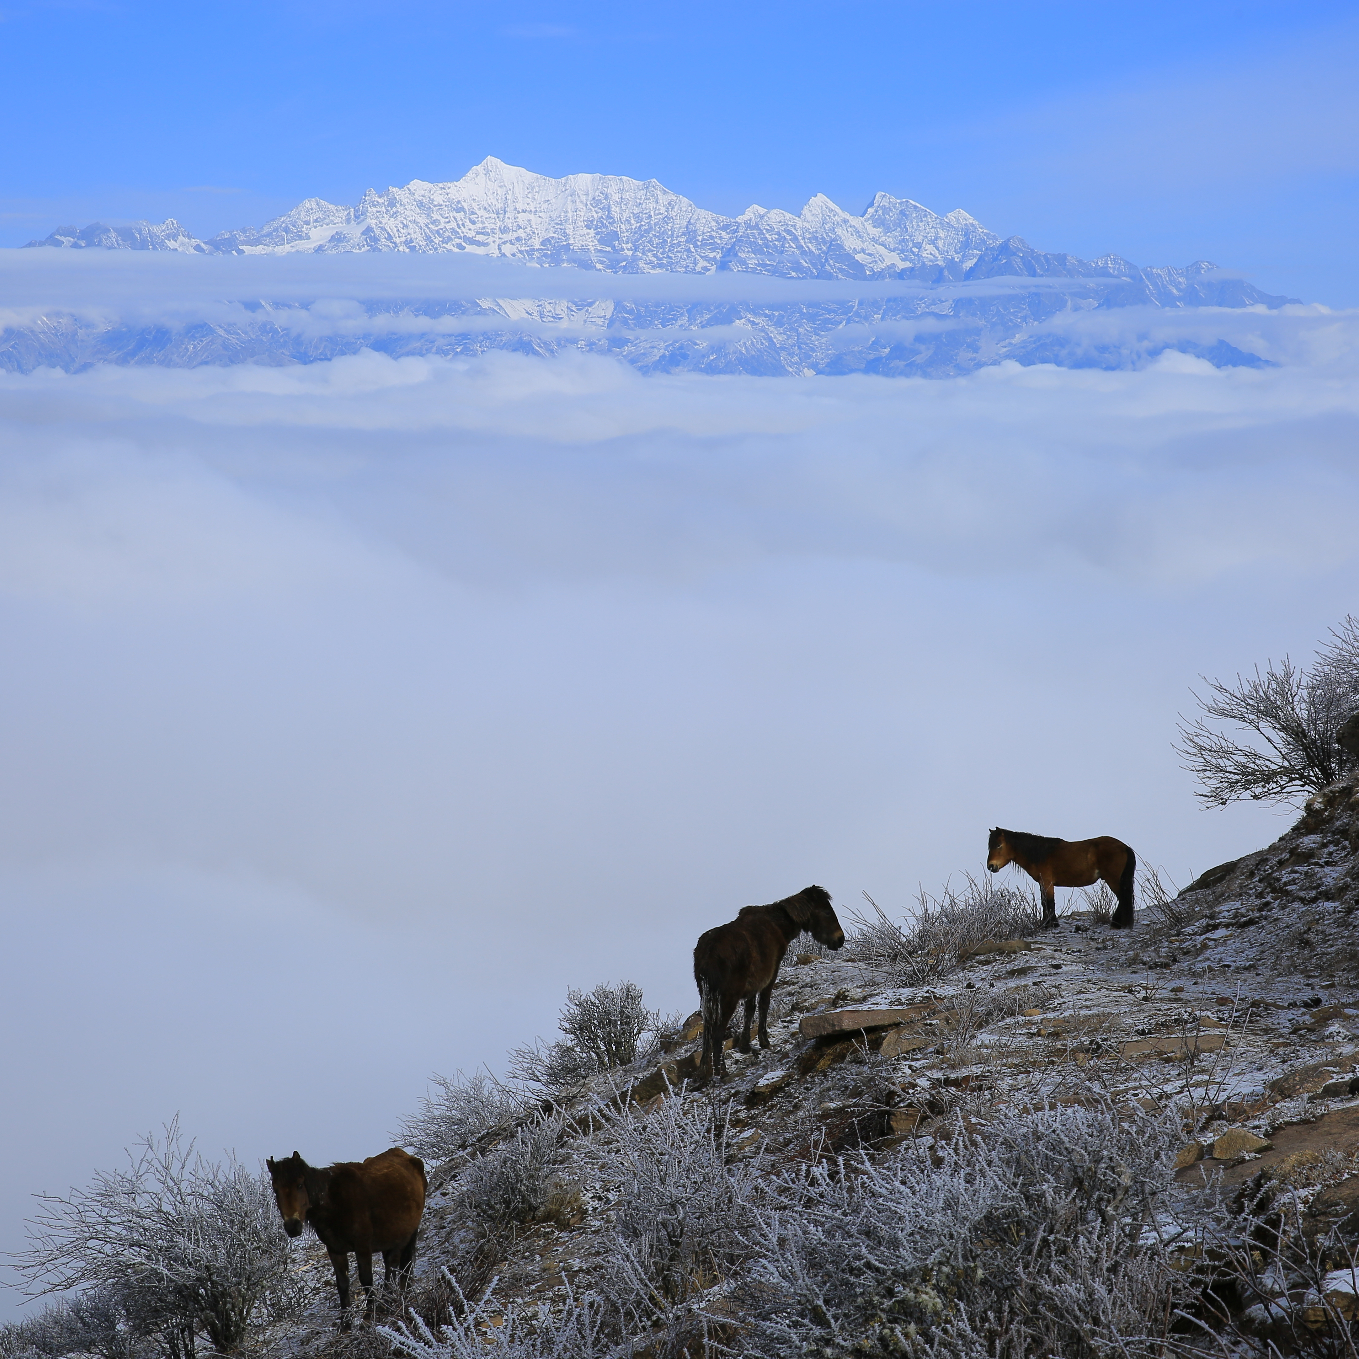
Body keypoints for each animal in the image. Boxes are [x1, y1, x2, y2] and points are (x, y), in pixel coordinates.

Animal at [265, 1146, 424, 1326]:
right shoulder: (335, 1250)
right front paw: (345, 1325)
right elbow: (342, 1284)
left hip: (407, 1235)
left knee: (400, 1265)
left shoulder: (363, 1247)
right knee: (394, 1265)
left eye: (299, 1185)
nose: (293, 1226)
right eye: (276, 1189)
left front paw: (368, 1317)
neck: (335, 1204)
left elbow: (366, 1280)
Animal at [695, 880, 842, 1081]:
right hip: (727, 997)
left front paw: (745, 1045)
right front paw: (764, 1041)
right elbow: (764, 1004)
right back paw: (721, 1071)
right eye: (827, 912)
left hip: (706, 996)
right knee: (717, 1032)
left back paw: (705, 1070)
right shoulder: (770, 974)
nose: (840, 939)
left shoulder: (753, 982)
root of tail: (708, 952)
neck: (779, 925)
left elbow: (749, 1009)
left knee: (707, 1030)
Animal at [989, 820, 1136, 929]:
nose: (991, 866)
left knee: (1123, 897)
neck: (1040, 854)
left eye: (998, 845)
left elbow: (1049, 903)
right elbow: (1045, 902)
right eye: (989, 845)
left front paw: (1051, 925)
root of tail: (1124, 847)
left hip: (1113, 879)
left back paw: (1117, 923)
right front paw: (1046, 924)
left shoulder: (1047, 882)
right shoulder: (1043, 883)